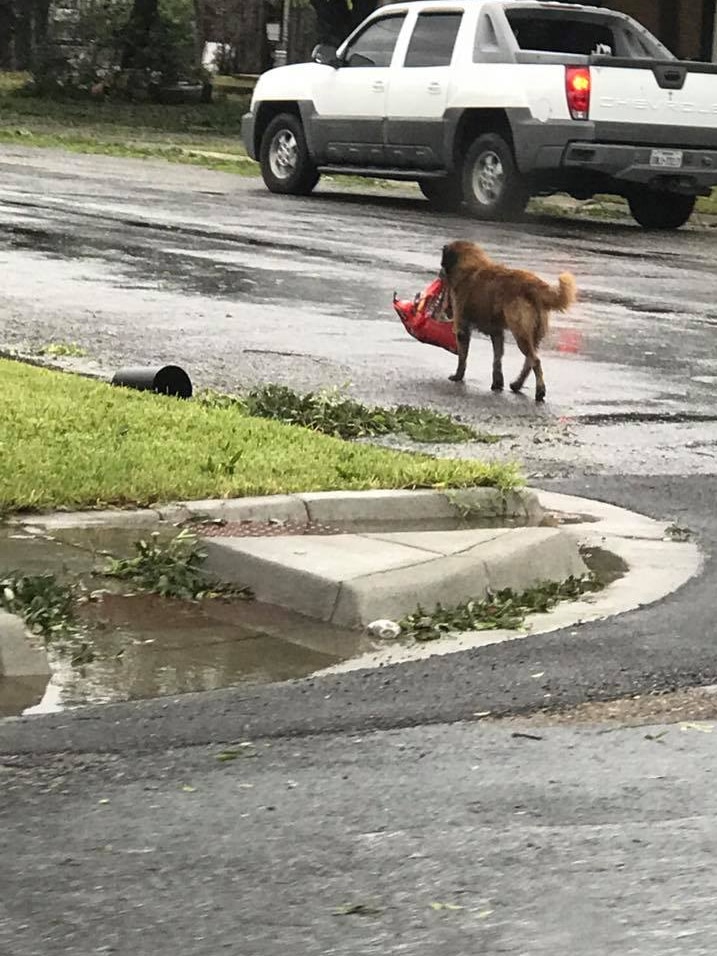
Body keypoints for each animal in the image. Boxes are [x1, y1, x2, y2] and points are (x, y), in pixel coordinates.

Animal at [442, 243, 576, 404]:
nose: (440, 273)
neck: (471, 265)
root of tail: (533, 284)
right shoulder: (497, 333)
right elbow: (497, 359)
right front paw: (497, 383)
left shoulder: (462, 328)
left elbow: (463, 357)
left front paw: (458, 376)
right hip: (532, 335)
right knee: (529, 362)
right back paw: (517, 384)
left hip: (520, 333)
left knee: (535, 361)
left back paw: (540, 391)